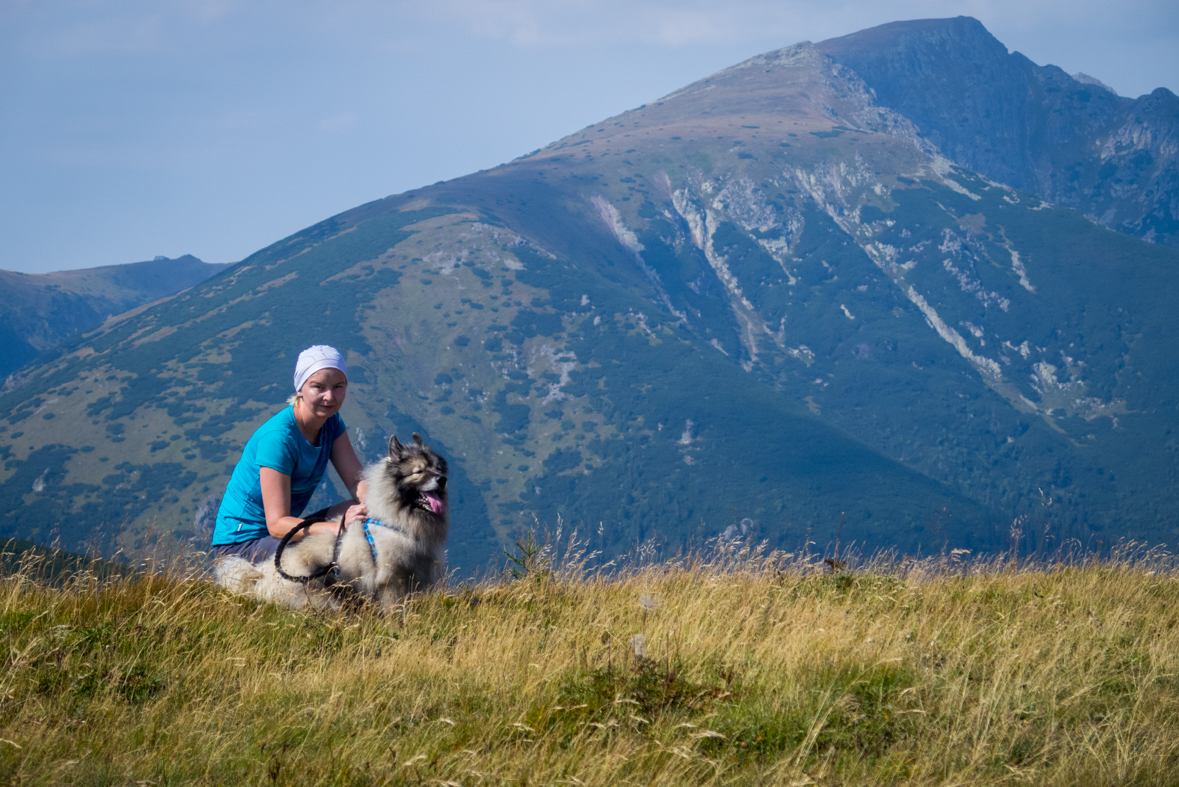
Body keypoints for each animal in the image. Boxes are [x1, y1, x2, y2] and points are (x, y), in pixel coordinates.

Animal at [214, 431, 448, 607]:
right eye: (418, 471)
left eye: (437, 468)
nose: (442, 479)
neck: (392, 519)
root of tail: (258, 581)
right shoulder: (392, 581)